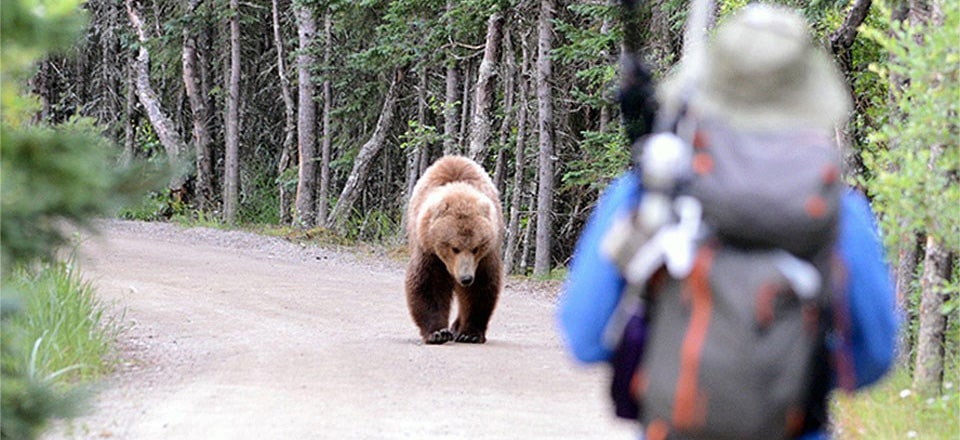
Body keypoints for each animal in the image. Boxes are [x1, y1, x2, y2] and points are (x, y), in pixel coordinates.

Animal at [404, 155, 506, 344]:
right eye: (454, 248)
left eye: (476, 248)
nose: (466, 278)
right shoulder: (428, 250)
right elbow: (429, 284)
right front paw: (438, 333)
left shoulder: (484, 257)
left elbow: (479, 288)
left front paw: (470, 333)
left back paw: (457, 327)